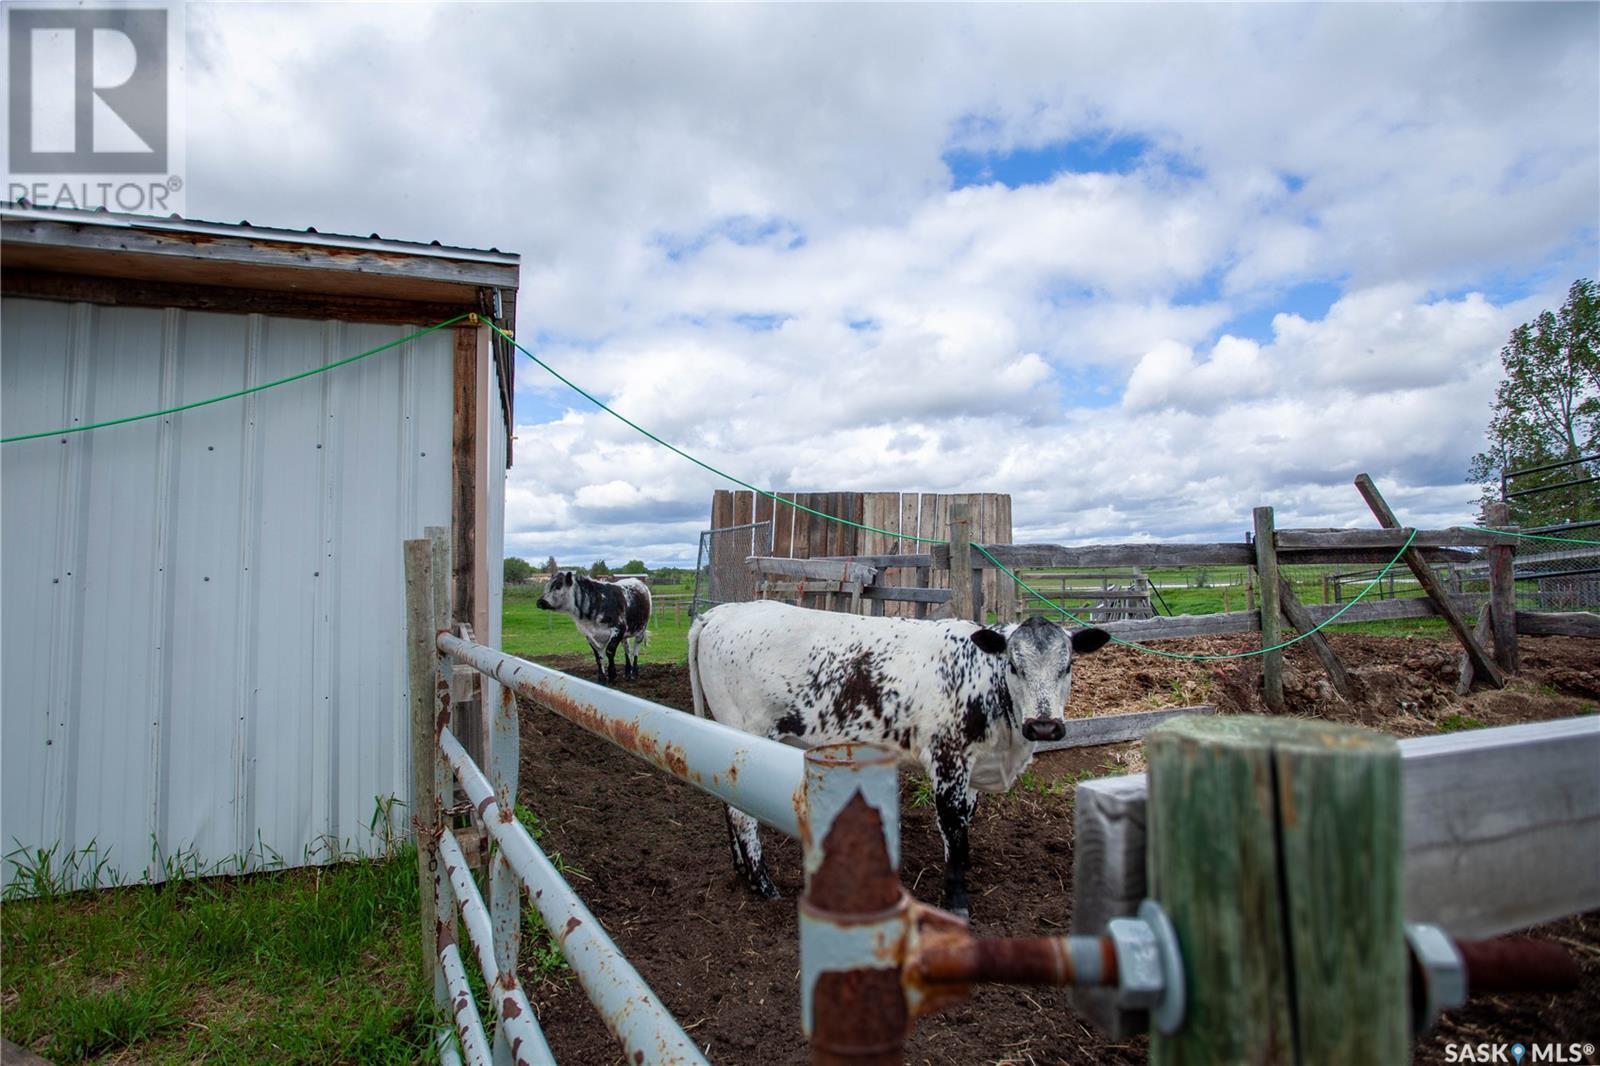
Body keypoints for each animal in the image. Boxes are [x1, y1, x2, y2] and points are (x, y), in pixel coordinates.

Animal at [688, 598, 1113, 915]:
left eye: (1067, 665)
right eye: (1013, 664)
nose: (1043, 726)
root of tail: (720, 612)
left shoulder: (973, 765)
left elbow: (967, 822)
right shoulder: (948, 761)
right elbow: (953, 826)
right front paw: (957, 900)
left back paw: (741, 871)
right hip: (746, 733)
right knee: (742, 815)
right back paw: (763, 882)